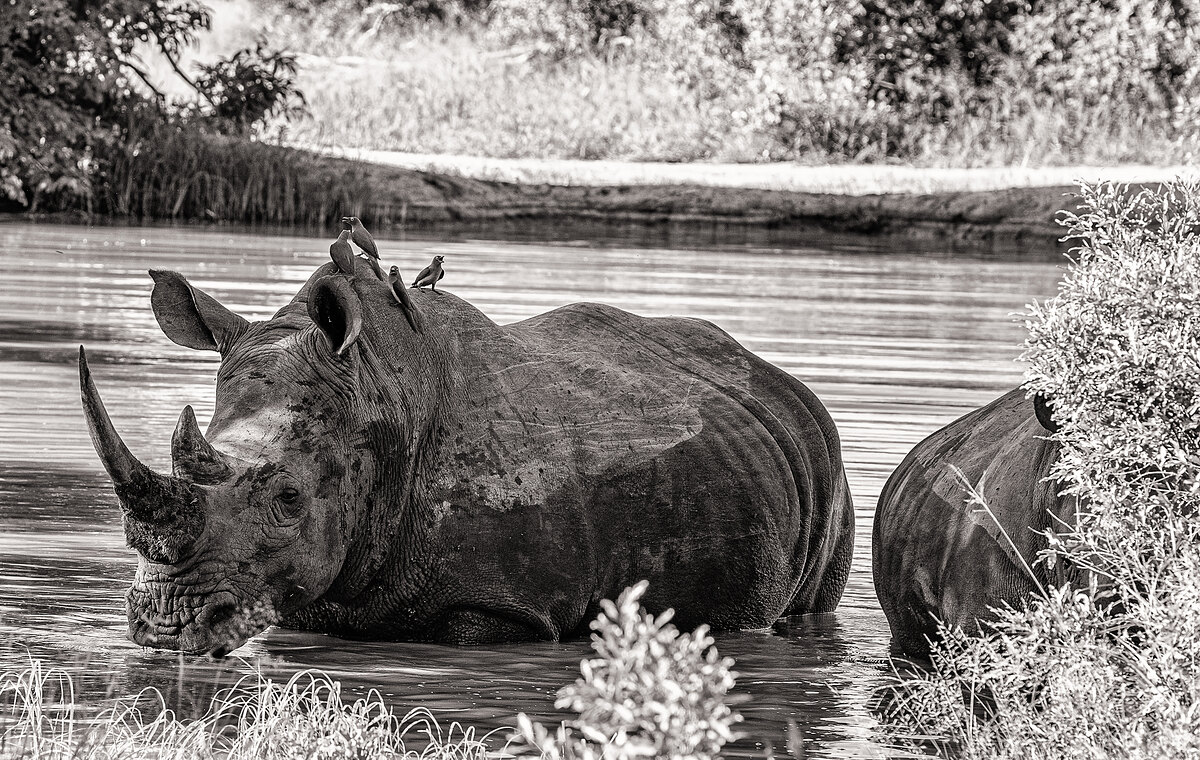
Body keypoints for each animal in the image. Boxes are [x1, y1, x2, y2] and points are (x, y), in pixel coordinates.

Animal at [80, 258, 855, 655]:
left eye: (289, 499)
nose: (161, 628)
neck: (378, 399)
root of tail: (785, 384)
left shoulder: (504, 606)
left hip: (830, 477)